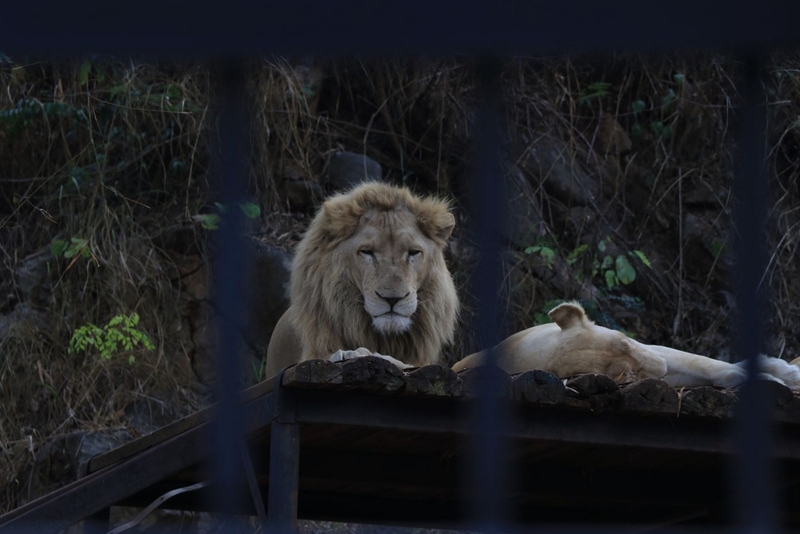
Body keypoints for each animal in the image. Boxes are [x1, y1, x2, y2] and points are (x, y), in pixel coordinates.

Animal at [453, 301, 800, 390]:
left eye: (624, 342)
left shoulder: (655, 349)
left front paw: (785, 374)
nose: (661, 369)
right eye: (624, 376)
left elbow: (711, 365)